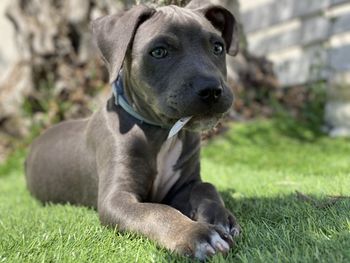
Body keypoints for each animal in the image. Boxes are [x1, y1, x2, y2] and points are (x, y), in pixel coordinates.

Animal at [25, 1, 241, 262]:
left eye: (218, 47)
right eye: (158, 52)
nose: (211, 90)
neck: (161, 133)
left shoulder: (185, 183)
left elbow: (206, 187)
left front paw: (220, 217)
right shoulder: (117, 197)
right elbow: (156, 211)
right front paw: (196, 234)